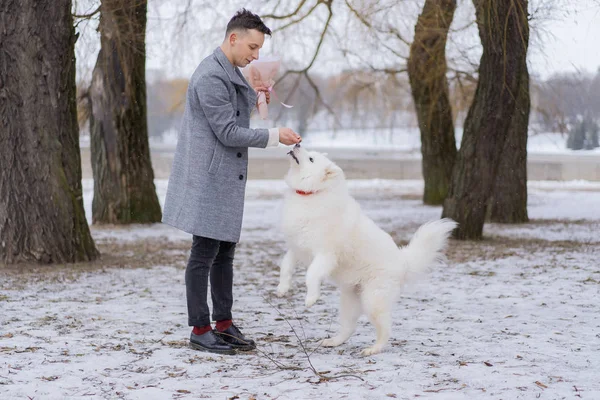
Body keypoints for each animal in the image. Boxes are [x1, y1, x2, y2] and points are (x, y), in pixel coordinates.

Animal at [276, 145, 454, 356]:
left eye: (311, 158)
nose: (297, 144)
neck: (311, 194)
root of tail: (403, 262)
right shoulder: (296, 248)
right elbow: (285, 267)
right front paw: (282, 288)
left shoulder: (325, 254)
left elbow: (311, 275)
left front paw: (311, 298)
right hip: (349, 301)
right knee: (349, 328)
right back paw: (333, 341)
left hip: (372, 300)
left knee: (385, 329)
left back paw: (373, 349)